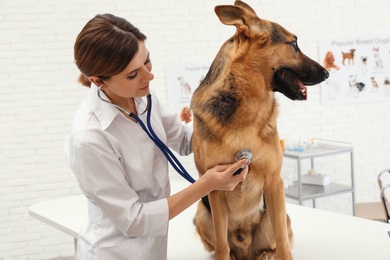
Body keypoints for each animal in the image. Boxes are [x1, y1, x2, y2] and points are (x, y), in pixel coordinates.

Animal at [190, 1, 328, 258]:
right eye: (294, 44)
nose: (327, 73)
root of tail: (245, 247)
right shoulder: (215, 188)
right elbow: (222, 245)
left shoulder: (274, 183)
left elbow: (283, 241)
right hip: (201, 213)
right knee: (223, 245)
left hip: (278, 215)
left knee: (276, 238)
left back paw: (266, 254)